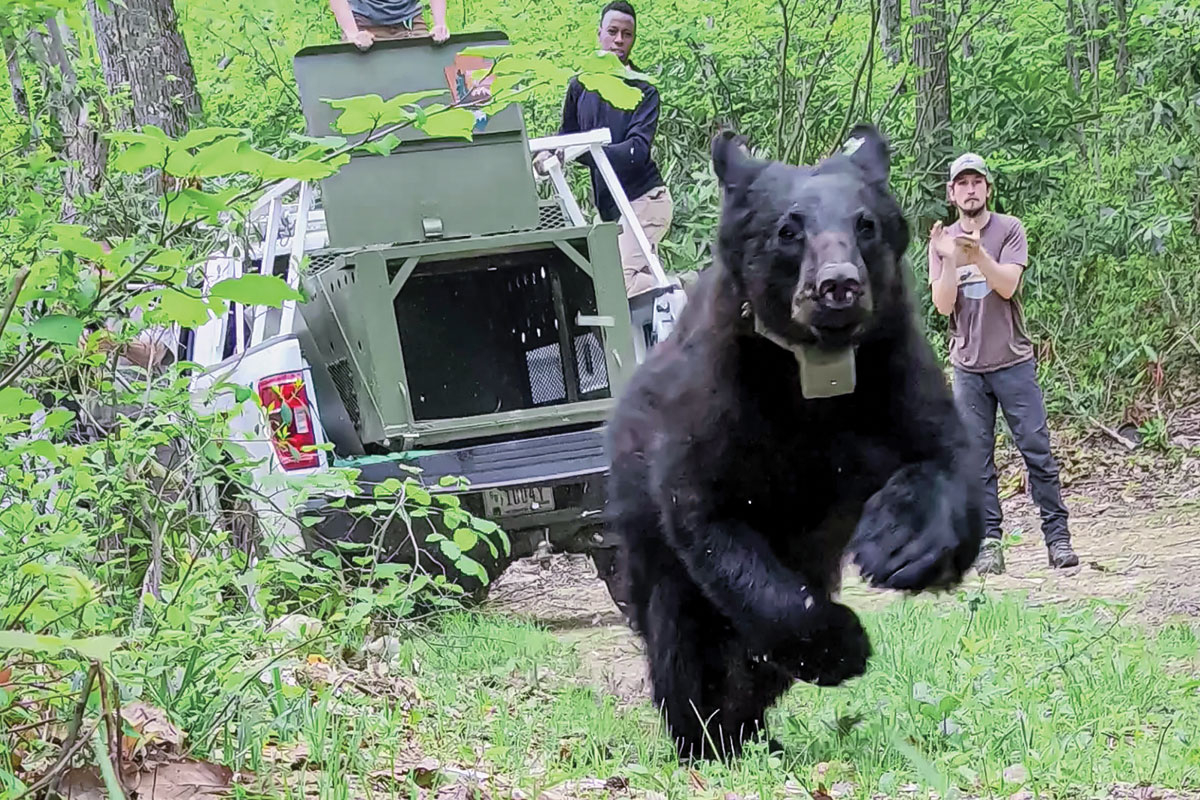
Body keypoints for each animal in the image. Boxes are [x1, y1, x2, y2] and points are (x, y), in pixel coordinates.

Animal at [603, 124, 984, 761]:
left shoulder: (893, 368)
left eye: (865, 224)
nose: (839, 286)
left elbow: (948, 463)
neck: (814, 375)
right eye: (788, 229)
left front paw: (900, 541)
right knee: (686, 642)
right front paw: (838, 644)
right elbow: (710, 518)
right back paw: (709, 741)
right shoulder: (715, 403)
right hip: (653, 566)